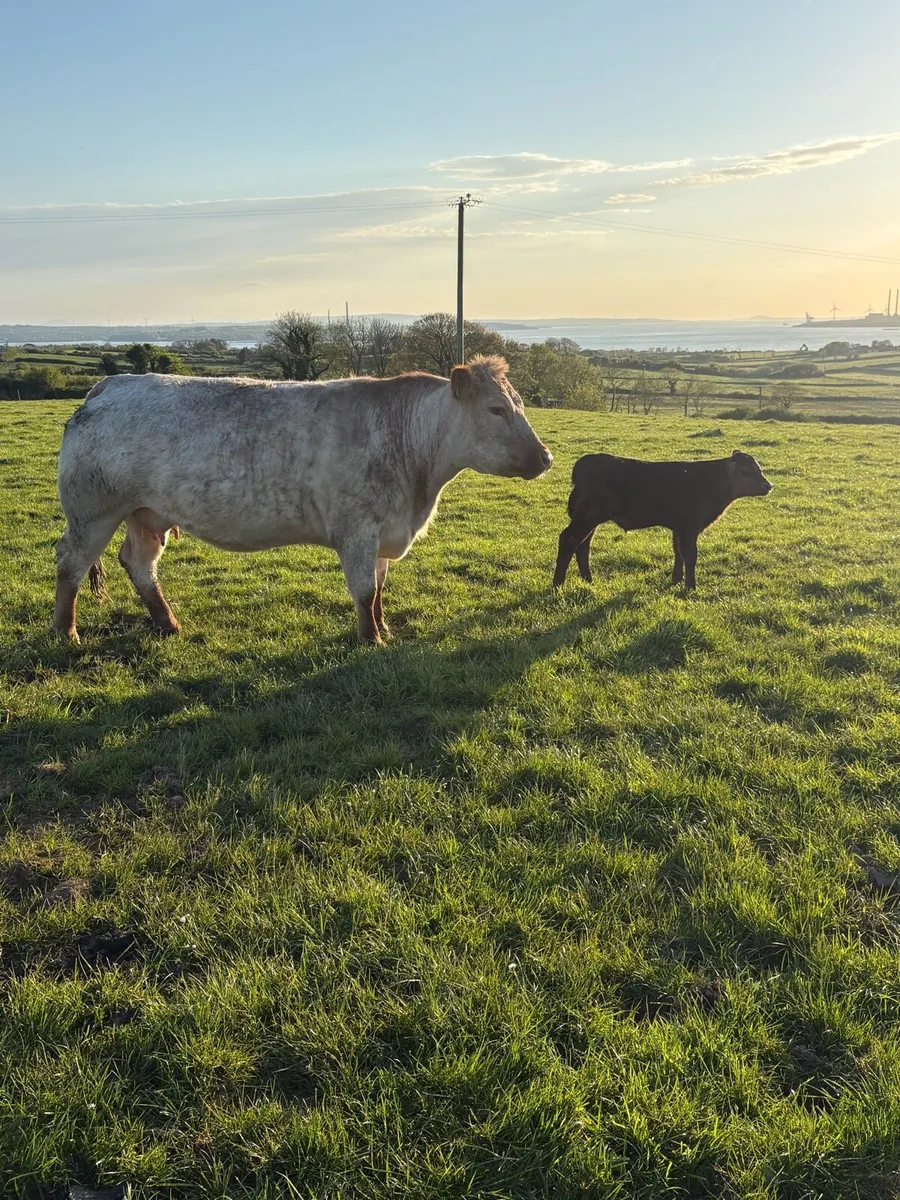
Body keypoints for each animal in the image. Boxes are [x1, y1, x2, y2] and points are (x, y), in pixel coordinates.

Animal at [55, 356, 552, 645]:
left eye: (521, 404)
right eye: (496, 409)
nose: (546, 456)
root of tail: (113, 384)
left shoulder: (383, 531)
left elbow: (379, 590)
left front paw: (385, 629)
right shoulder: (356, 529)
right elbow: (364, 591)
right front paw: (371, 641)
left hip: (144, 514)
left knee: (140, 565)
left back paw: (168, 624)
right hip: (92, 512)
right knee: (70, 565)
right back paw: (66, 633)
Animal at [553, 449, 772, 591]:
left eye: (759, 469)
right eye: (746, 472)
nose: (768, 485)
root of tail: (584, 464)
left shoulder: (679, 528)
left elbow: (678, 552)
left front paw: (676, 580)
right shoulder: (690, 526)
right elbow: (690, 555)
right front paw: (690, 586)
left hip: (589, 520)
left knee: (583, 544)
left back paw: (588, 579)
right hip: (587, 517)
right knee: (569, 539)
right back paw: (558, 584)